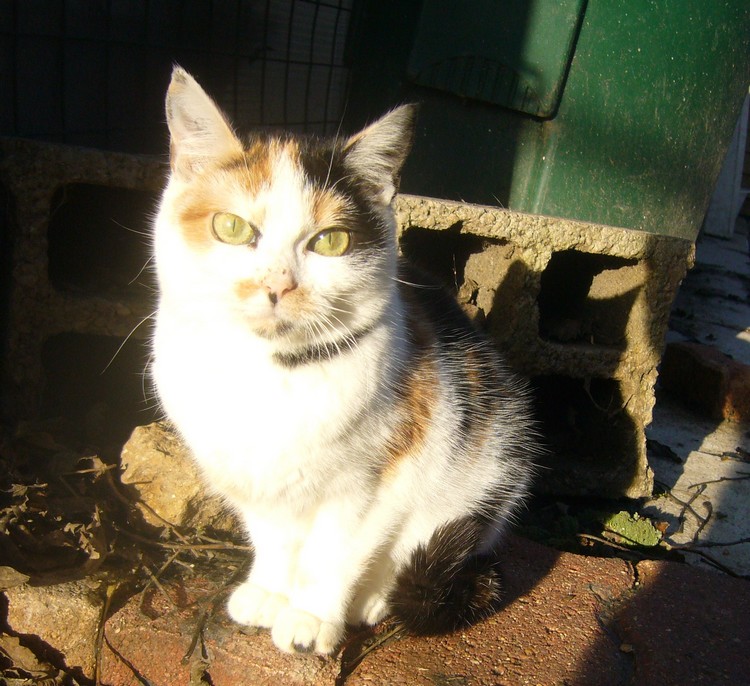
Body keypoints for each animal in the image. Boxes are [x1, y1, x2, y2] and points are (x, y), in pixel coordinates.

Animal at [151, 67, 536, 660]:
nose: (277, 284)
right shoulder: (251, 477)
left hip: (489, 465)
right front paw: (269, 591)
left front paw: (310, 617)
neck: (267, 373)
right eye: (232, 228)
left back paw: (371, 599)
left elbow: (332, 554)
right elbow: (272, 537)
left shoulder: (374, 482)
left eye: (331, 241)